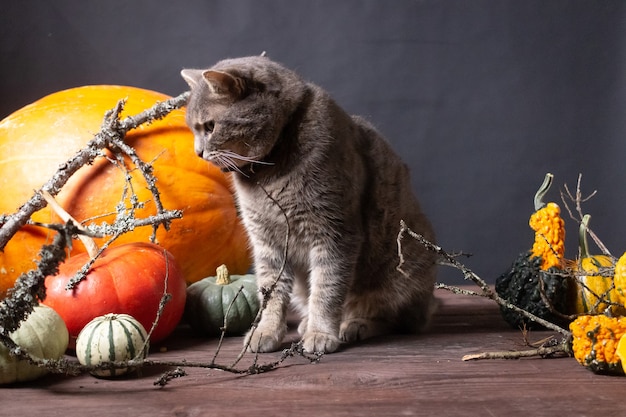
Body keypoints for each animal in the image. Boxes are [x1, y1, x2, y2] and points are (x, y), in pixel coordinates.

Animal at [179, 55, 434, 352]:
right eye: (193, 129)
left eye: (210, 126)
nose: (198, 152)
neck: (269, 172)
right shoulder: (267, 241)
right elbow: (271, 292)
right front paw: (265, 332)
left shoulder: (334, 234)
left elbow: (326, 289)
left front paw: (321, 333)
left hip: (400, 271)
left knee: (391, 317)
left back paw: (352, 325)